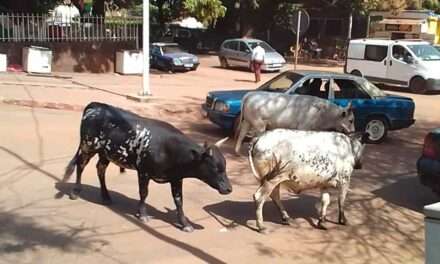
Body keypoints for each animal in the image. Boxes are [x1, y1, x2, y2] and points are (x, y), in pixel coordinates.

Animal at [64, 102, 234, 232]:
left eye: (225, 166)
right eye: (216, 168)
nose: (229, 189)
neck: (169, 149)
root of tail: (97, 106)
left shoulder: (176, 178)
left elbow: (178, 200)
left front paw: (185, 224)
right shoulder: (143, 172)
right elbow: (144, 193)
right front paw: (143, 214)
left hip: (105, 153)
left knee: (100, 169)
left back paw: (105, 196)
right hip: (88, 146)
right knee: (80, 165)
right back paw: (75, 191)